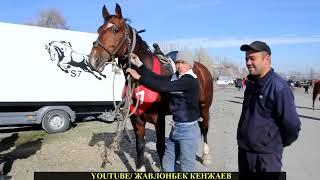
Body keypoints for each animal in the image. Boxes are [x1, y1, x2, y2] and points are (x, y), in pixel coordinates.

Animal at [87, 3, 214, 171]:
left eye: (115, 30)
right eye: (99, 30)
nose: (93, 60)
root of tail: (203, 68)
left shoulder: (158, 120)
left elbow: (160, 147)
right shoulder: (136, 119)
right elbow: (140, 146)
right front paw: (140, 168)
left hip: (204, 107)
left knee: (204, 127)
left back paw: (206, 156)